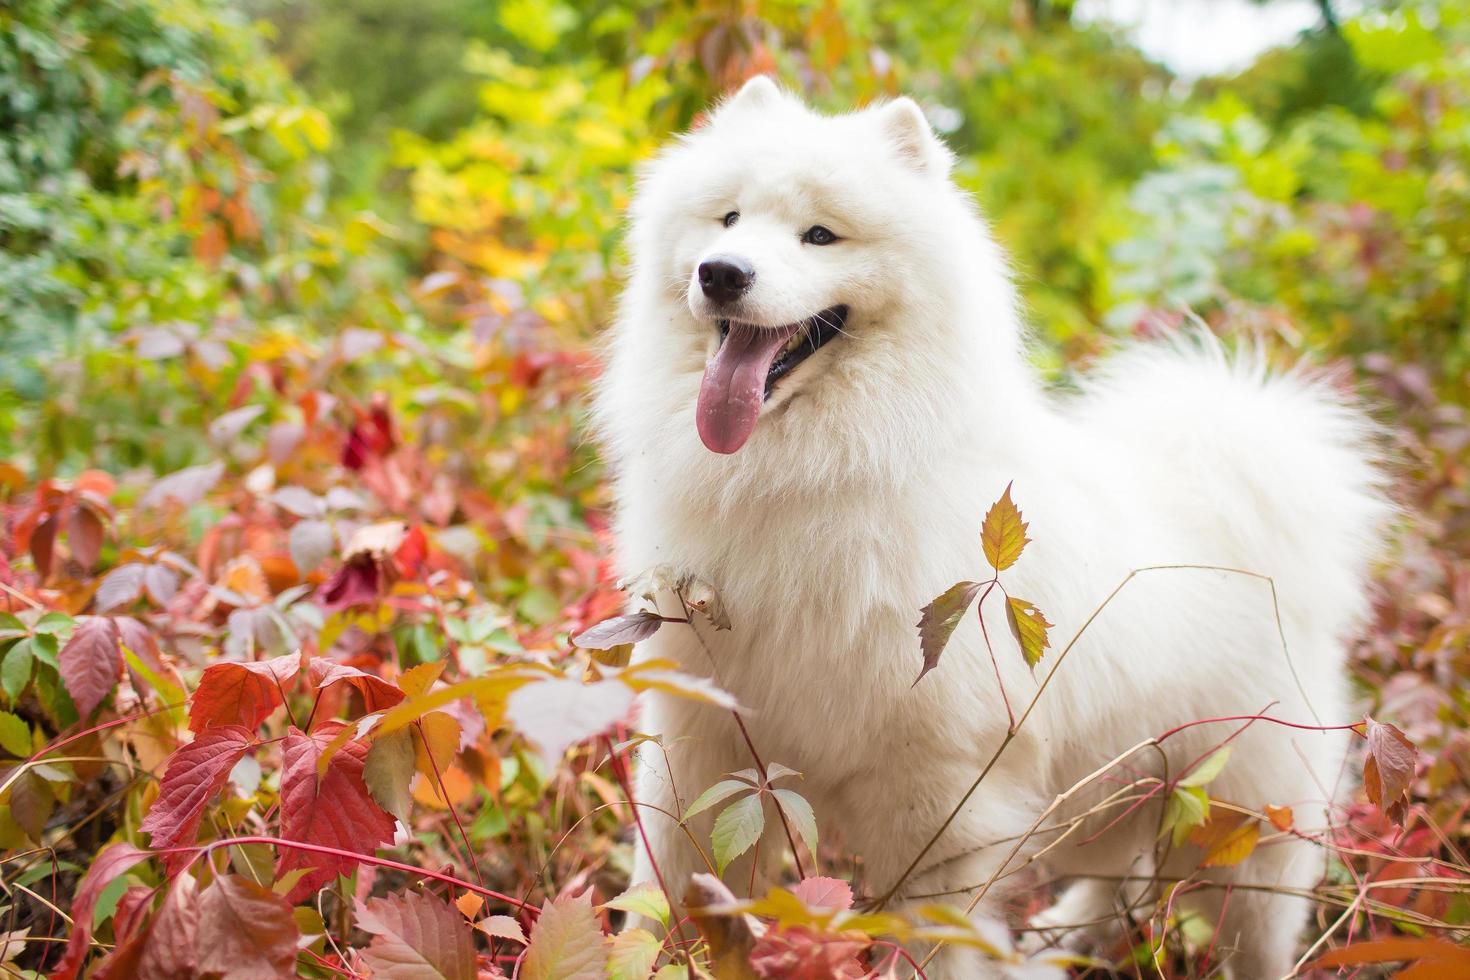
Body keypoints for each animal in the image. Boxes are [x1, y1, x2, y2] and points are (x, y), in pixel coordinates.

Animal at [590, 78, 1381, 980]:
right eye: (726, 219)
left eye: (820, 234)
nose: (722, 273)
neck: (809, 474)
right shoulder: (701, 742)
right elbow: (665, 887)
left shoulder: (939, 793)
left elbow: (934, 940)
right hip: (1119, 784)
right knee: (1111, 876)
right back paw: (1059, 939)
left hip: (1242, 819)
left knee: (1251, 922)